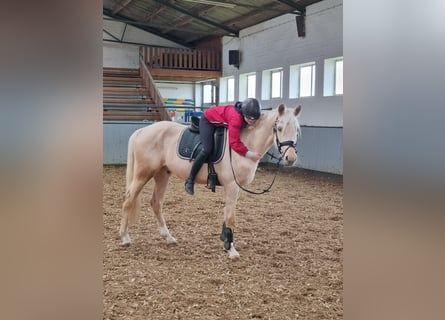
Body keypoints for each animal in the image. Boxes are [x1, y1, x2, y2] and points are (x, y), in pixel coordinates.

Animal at [119, 104, 302, 258]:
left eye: (297, 130)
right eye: (279, 128)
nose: (291, 158)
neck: (245, 142)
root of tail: (143, 130)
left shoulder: (233, 188)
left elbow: (226, 213)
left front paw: (225, 240)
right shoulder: (232, 186)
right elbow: (231, 217)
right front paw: (231, 250)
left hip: (162, 174)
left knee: (156, 203)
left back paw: (168, 237)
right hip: (143, 173)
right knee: (128, 200)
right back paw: (125, 237)